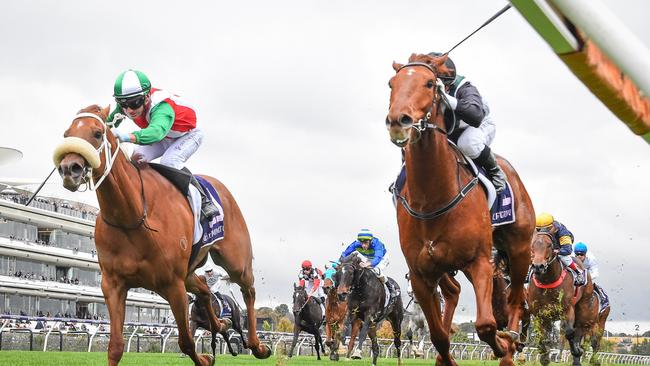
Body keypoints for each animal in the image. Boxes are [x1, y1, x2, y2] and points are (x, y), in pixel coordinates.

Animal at [52, 104, 270, 364]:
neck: (131, 216)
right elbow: (115, 346)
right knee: (205, 291)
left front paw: (204, 358)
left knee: (248, 291)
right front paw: (208, 353)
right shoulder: (113, 285)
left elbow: (186, 342)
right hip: (189, 273)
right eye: (67, 135)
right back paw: (220, 323)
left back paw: (257, 346)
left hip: (235, 262)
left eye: (97, 133)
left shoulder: (173, 284)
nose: (69, 169)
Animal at [384, 53, 532, 364]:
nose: (398, 120)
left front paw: (502, 344)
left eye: (430, 83)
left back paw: (511, 342)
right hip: (444, 265)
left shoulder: (480, 261)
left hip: (519, 249)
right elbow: (438, 335)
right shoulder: (420, 273)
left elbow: (486, 325)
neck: (432, 198)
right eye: (392, 83)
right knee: (453, 292)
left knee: (516, 298)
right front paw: (444, 355)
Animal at [528, 232, 604, 366]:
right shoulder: (539, 313)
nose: (538, 266)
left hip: (589, 317)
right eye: (532, 245)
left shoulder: (567, 309)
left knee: (589, 338)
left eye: (549, 245)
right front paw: (545, 357)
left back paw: (586, 357)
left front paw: (577, 351)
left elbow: (569, 333)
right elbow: (541, 336)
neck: (547, 281)